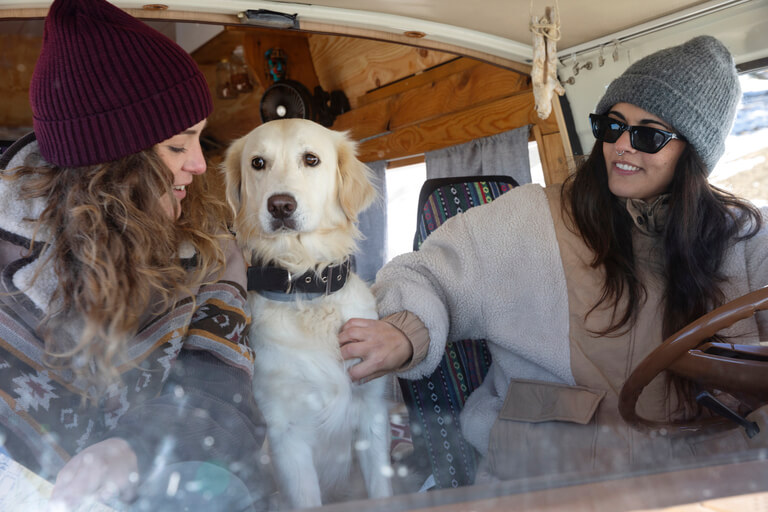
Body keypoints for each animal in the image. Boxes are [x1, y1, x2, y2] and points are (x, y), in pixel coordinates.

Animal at [220, 119, 390, 508]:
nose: (281, 206)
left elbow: (382, 489)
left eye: (311, 159)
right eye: (257, 163)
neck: (306, 286)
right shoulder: (286, 434)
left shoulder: (372, 412)